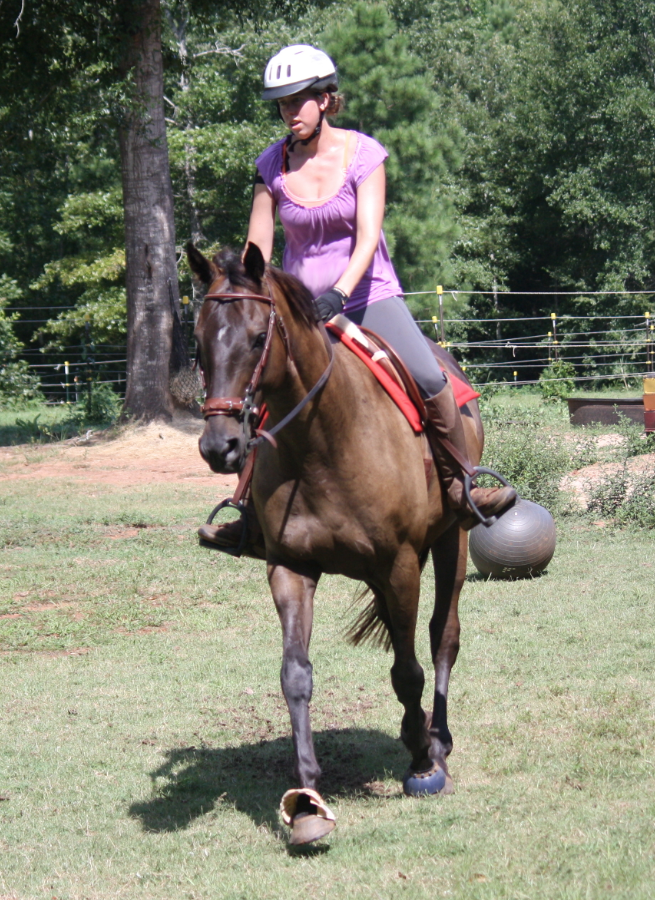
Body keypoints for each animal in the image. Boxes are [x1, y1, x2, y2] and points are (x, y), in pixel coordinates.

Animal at [187, 241, 485, 845]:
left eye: (258, 336)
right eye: (200, 341)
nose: (219, 447)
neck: (324, 439)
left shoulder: (400, 564)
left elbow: (407, 669)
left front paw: (423, 761)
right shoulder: (290, 567)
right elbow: (295, 675)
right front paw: (306, 800)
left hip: (454, 540)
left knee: (443, 636)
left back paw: (438, 739)